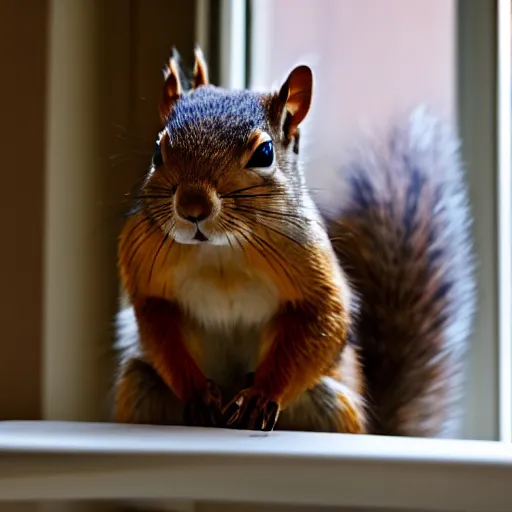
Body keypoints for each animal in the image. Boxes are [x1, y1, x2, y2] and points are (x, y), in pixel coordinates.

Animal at [112, 46, 476, 436]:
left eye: (264, 153)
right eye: (157, 151)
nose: (192, 207)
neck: (219, 251)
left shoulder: (312, 267)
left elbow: (323, 319)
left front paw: (260, 396)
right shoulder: (147, 275)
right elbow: (159, 327)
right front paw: (198, 393)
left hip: (330, 404)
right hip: (140, 386)